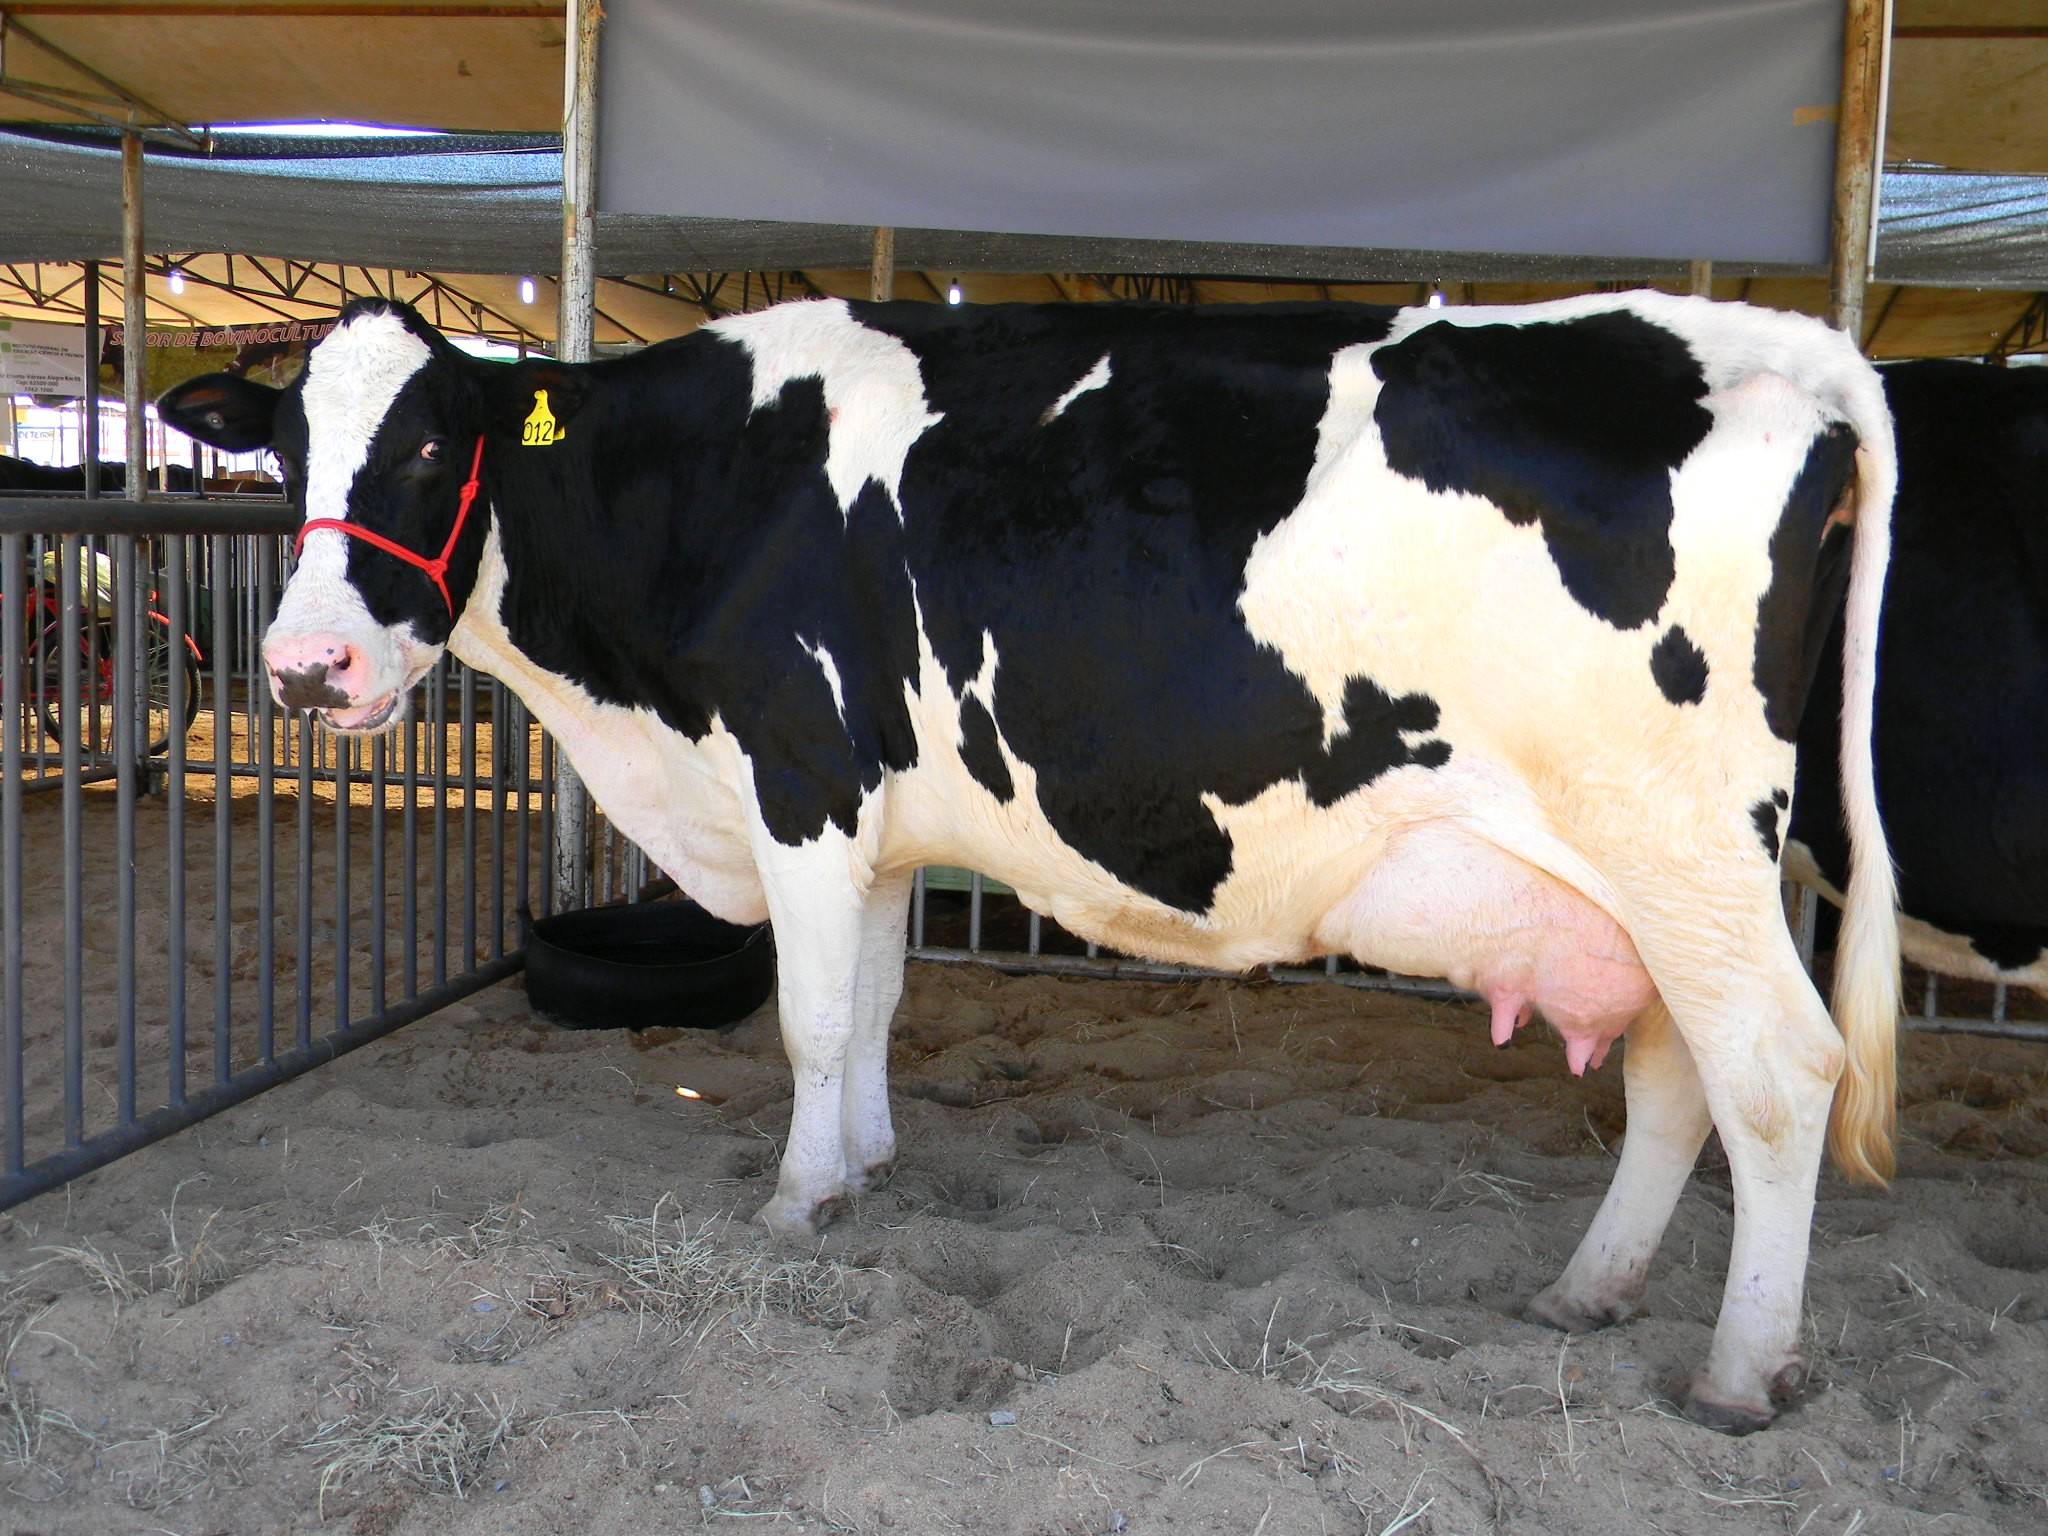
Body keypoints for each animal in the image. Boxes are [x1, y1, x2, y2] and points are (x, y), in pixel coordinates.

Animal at [159, 294, 1900, 1441]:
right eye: (286, 449)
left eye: (430, 445)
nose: (305, 669)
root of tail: (1760, 336)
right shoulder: (876, 818)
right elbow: (869, 1006)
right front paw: (863, 1167)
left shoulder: (799, 774)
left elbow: (808, 1019)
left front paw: (795, 1201)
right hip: (1653, 882)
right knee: (1680, 1075)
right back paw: (1589, 1290)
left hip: (1682, 843)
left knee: (1777, 1074)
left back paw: (1740, 1371)